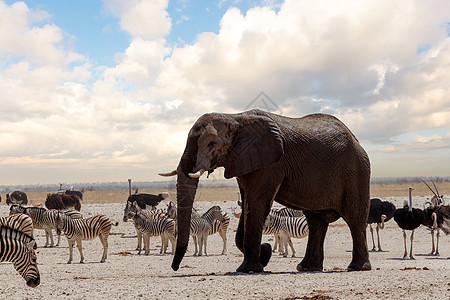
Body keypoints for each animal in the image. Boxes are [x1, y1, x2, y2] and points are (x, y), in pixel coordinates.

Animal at [160, 109, 370, 274]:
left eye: (211, 144)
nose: (175, 268)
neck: (236, 117)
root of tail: (357, 140)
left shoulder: (272, 164)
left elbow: (257, 204)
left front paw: (250, 268)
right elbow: (247, 205)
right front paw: (265, 255)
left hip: (356, 169)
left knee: (354, 218)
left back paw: (357, 267)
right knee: (316, 221)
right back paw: (307, 268)